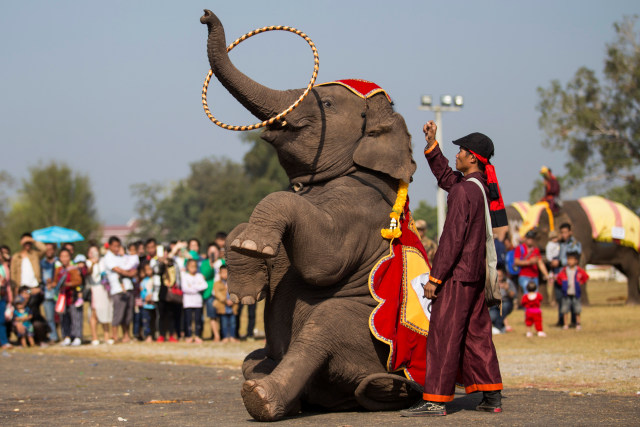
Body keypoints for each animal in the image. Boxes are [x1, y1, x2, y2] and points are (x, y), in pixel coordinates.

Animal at [201, 9, 424, 422]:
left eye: (329, 105)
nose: (205, 15)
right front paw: (245, 286)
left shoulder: (361, 210)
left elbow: (325, 262)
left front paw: (252, 247)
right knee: (253, 358)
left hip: (364, 335)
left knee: (322, 327)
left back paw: (261, 398)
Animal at [504, 202, 640, 306]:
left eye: (538, 232)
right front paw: (546, 304)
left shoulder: (581, 237)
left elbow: (579, 261)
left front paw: (582, 304)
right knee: (627, 271)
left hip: (630, 248)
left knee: (631, 270)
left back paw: (631, 304)